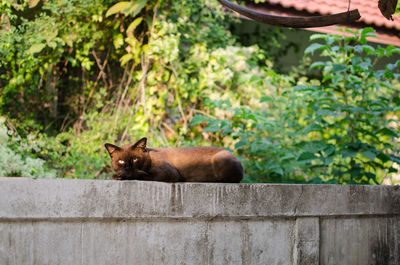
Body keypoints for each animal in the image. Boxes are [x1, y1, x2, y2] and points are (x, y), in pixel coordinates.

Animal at [104, 136, 242, 182]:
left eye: (135, 160)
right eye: (121, 161)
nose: (128, 168)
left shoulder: (169, 173)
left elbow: (141, 175)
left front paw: (122, 176)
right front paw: (117, 176)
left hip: (219, 160)